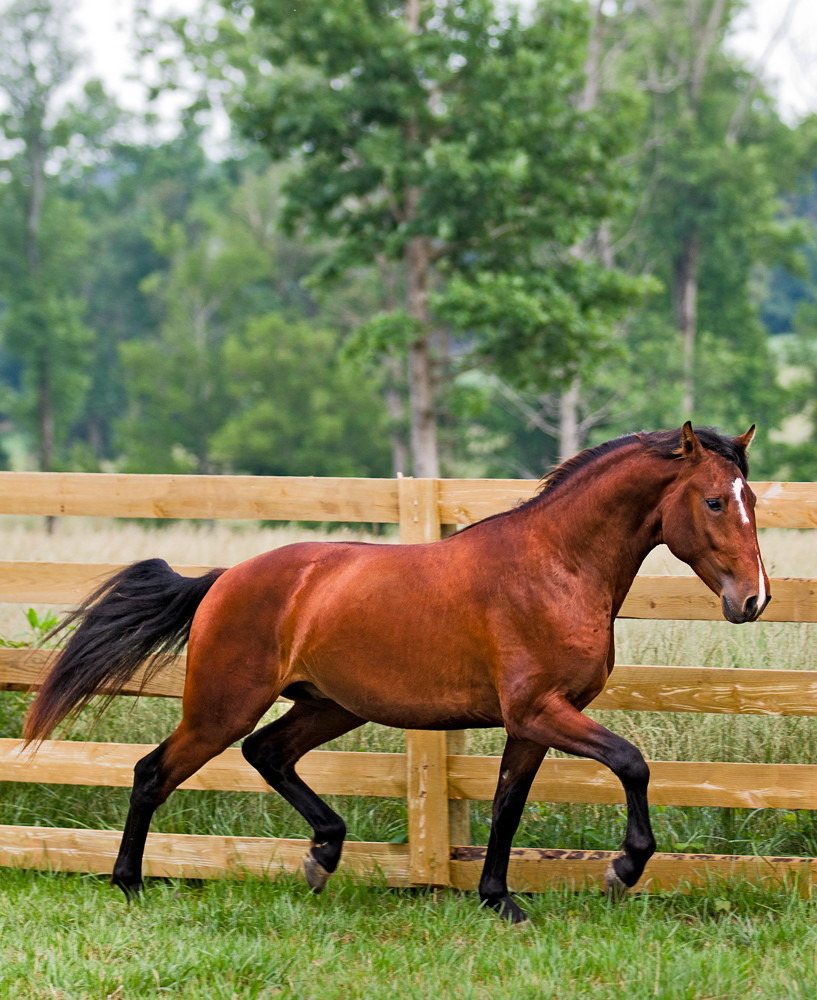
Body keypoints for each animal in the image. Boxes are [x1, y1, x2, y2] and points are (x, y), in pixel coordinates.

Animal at [23, 422, 764, 920]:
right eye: (714, 502)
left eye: (751, 499)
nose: (751, 600)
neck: (555, 566)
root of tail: (224, 578)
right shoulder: (540, 710)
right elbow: (631, 763)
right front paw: (622, 869)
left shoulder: (532, 722)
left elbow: (506, 807)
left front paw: (499, 901)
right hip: (221, 707)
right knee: (153, 772)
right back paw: (129, 883)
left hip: (328, 705)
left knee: (267, 753)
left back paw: (322, 855)